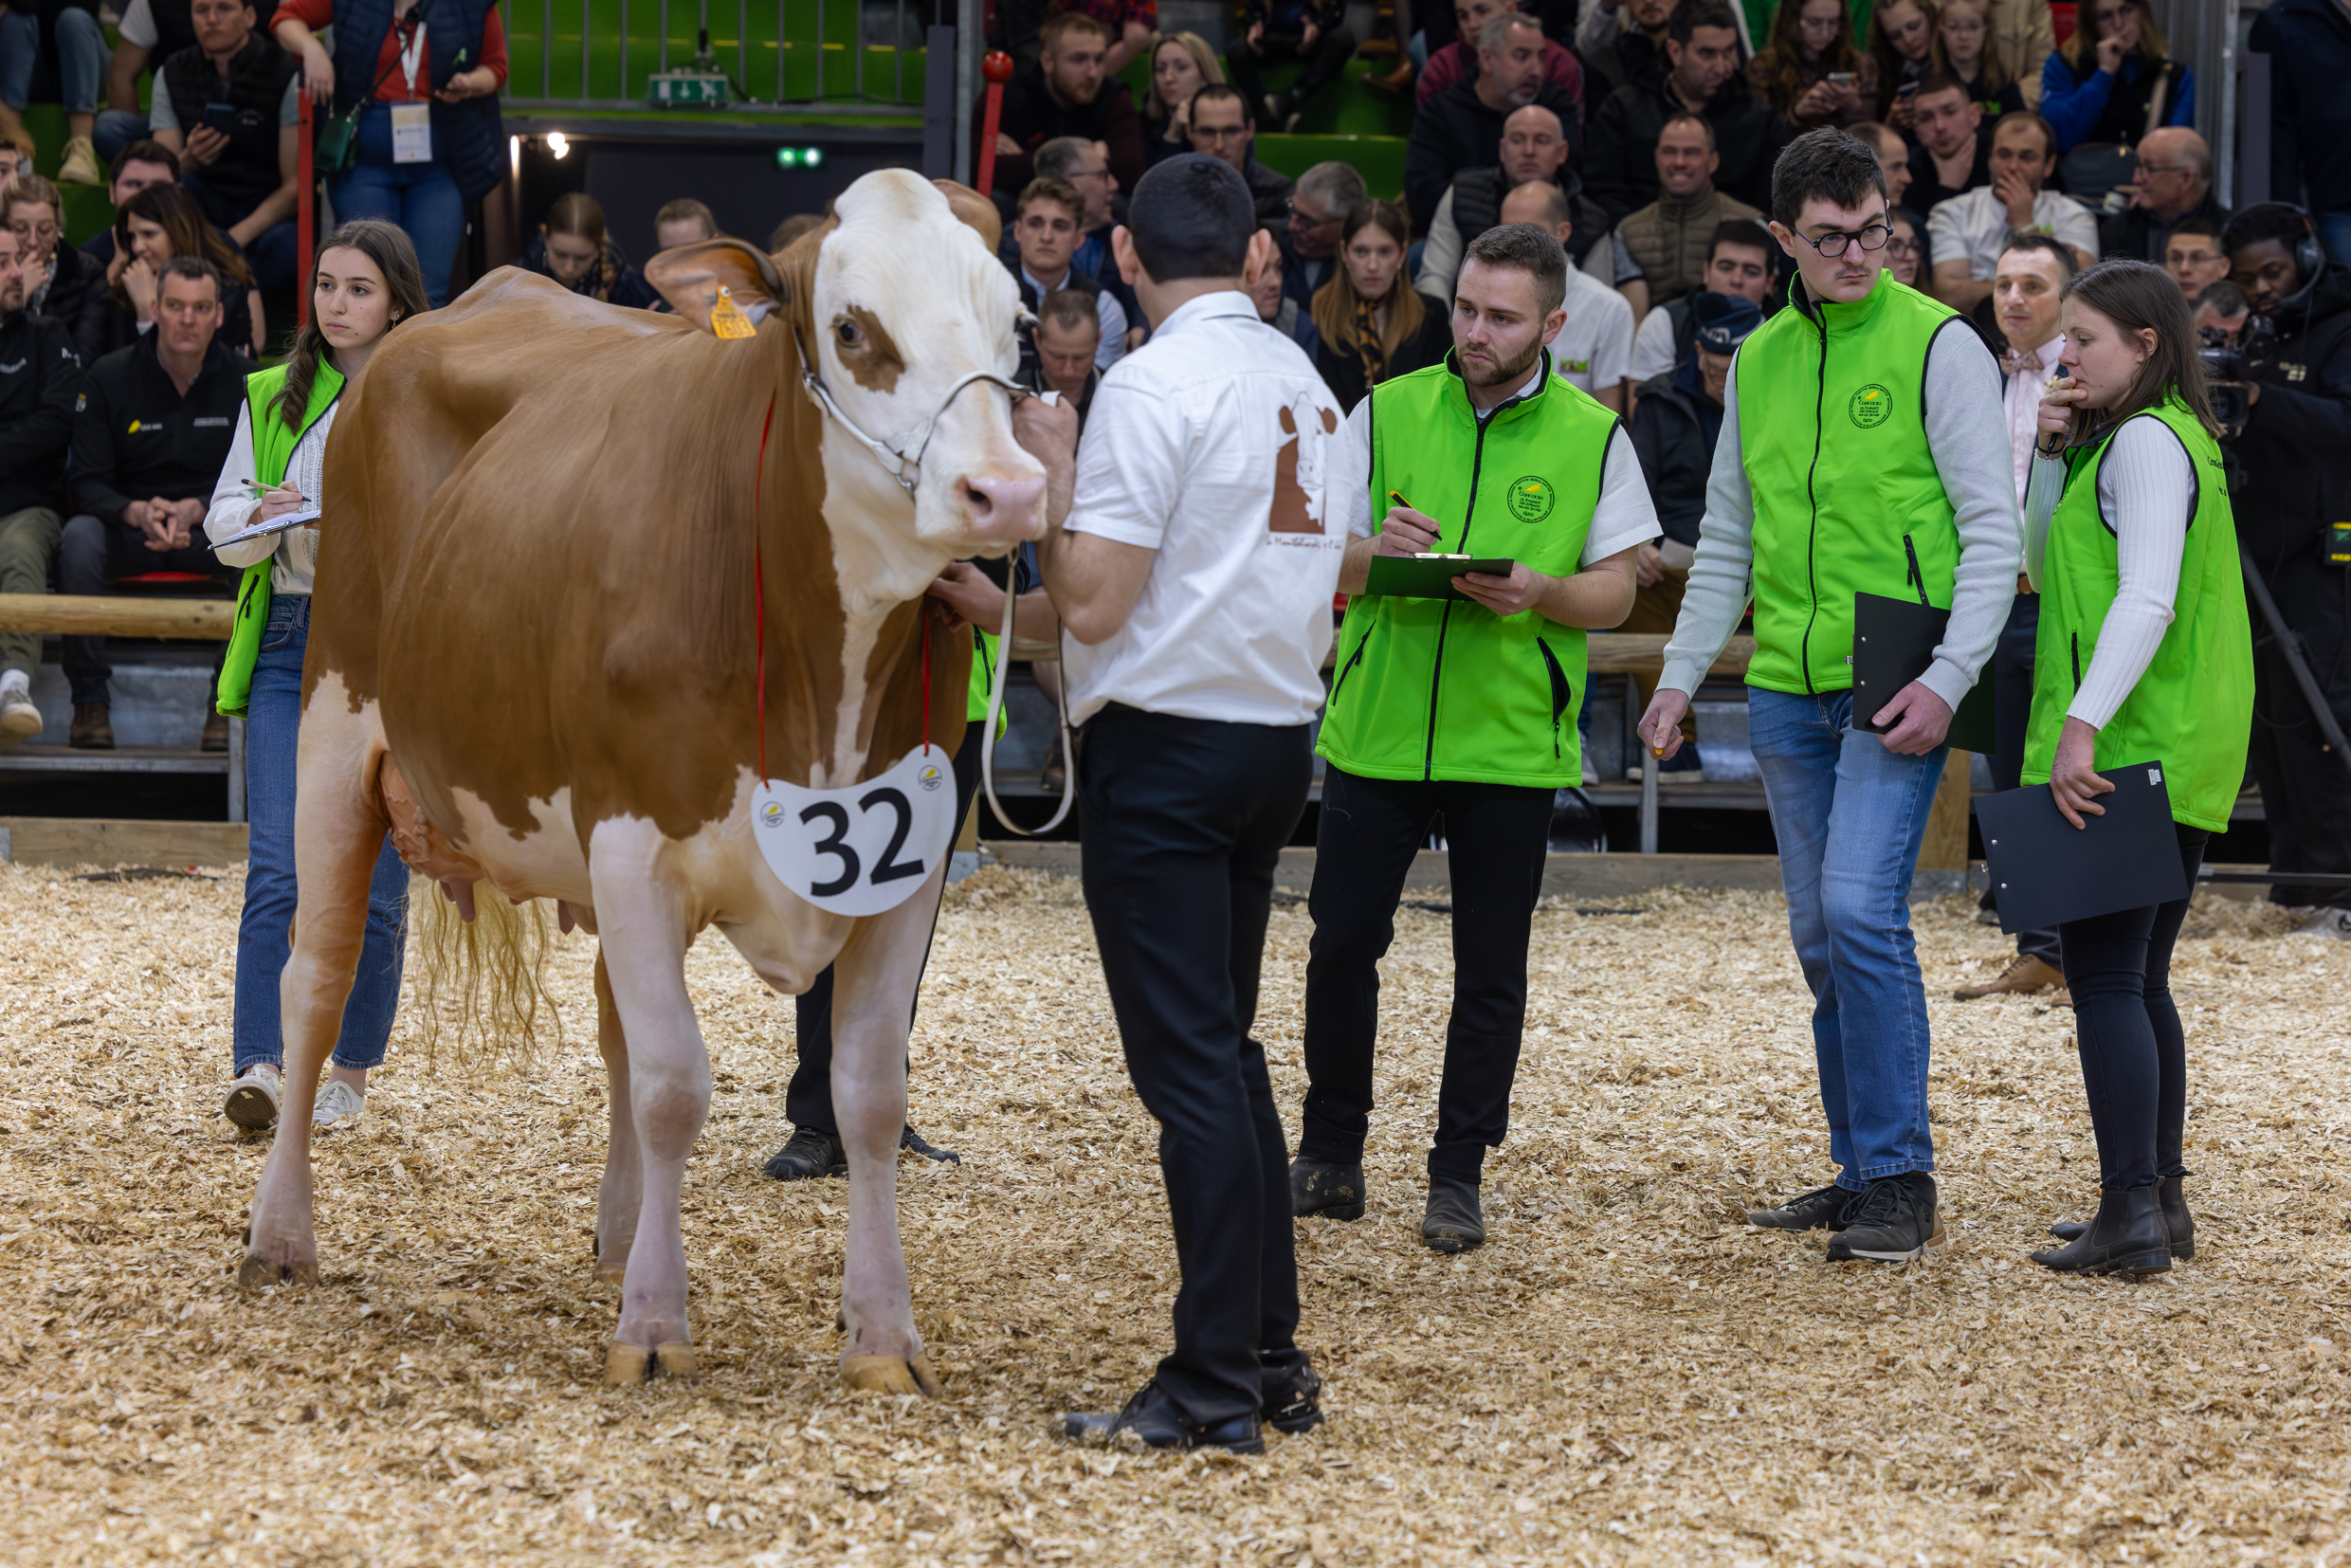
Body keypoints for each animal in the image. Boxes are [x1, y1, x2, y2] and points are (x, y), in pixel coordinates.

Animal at [241, 172, 1048, 1400]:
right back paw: (280, 1234)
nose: (1003, 491)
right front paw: (656, 1326)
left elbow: (868, 1091)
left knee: (611, 1018)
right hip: (334, 729)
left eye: (1016, 323)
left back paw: (621, 1237)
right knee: (316, 976)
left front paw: (881, 1335)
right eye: (851, 329)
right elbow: (675, 1083)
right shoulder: (631, 836)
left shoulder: (903, 865)